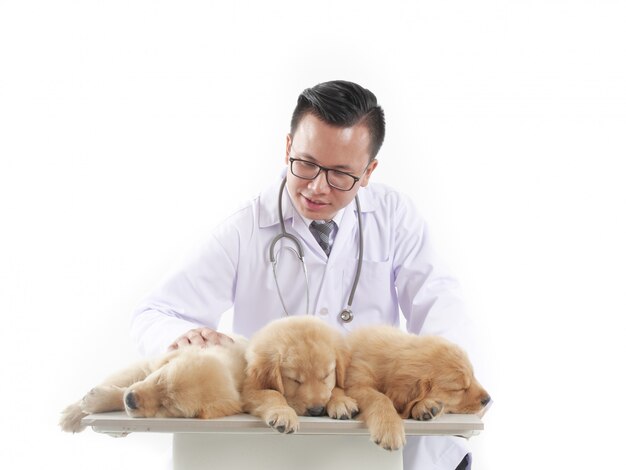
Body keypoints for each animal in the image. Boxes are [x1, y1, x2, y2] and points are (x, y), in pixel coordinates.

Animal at [59, 334, 246, 434]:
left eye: (167, 407)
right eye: (159, 378)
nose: (131, 401)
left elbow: (123, 391)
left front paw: (95, 401)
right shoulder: (150, 365)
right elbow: (124, 383)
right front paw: (72, 415)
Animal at [344, 326, 490, 452]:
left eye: (473, 375)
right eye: (459, 389)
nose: (488, 399)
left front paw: (426, 406)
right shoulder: (355, 384)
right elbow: (380, 397)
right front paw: (390, 429)